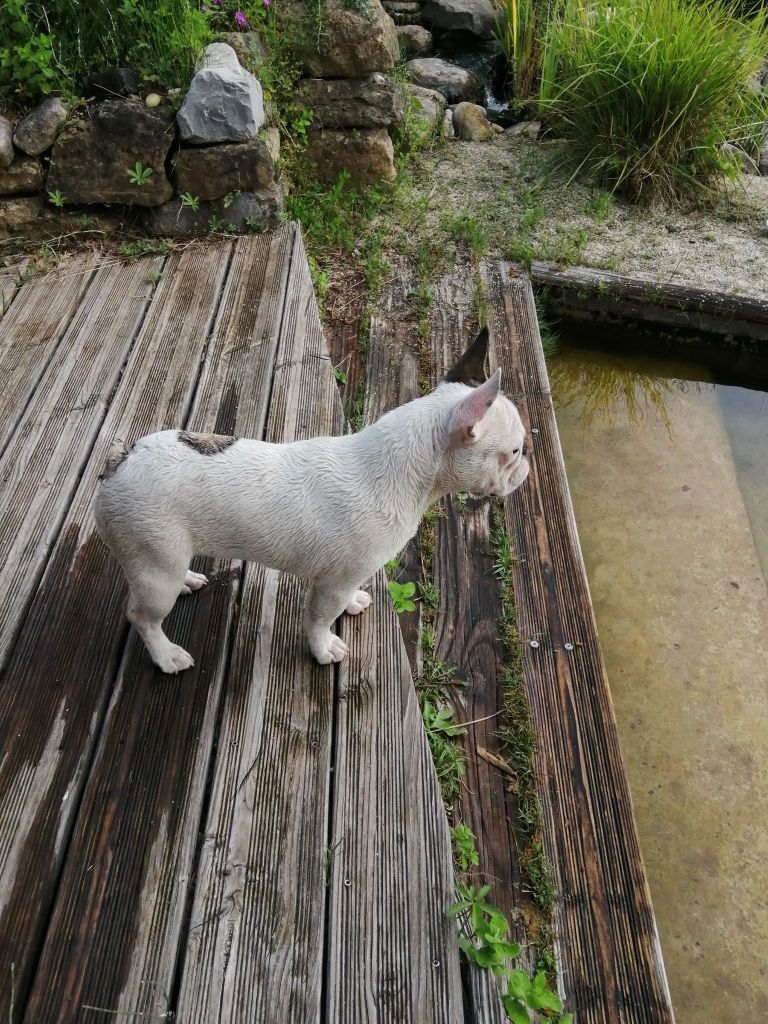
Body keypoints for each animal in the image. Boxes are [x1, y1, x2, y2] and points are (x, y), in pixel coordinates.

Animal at [94, 329, 528, 671]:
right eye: (514, 451)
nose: (527, 463)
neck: (403, 471)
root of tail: (121, 458)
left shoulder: (344, 579)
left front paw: (353, 602)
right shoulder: (332, 582)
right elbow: (319, 620)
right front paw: (323, 649)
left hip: (163, 559)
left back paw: (188, 579)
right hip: (154, 567)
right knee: (142, 617)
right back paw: (165, 655)